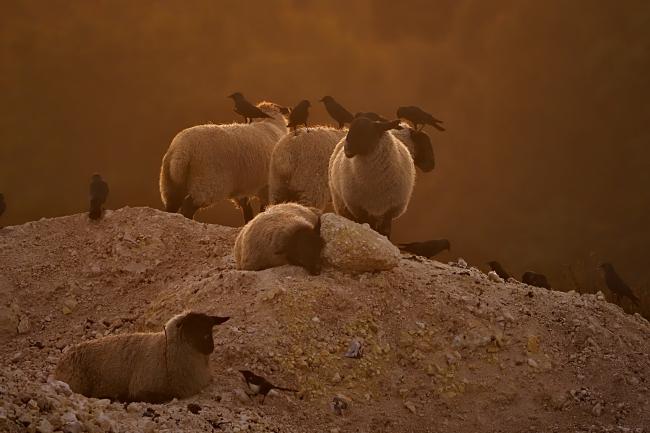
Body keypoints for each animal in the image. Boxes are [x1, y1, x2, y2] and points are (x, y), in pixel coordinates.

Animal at [159, 102, 289, 223]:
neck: (270, 124)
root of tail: (182, 150)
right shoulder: (267, 187)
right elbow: (263, 208)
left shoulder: (242, 188)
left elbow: (247, 209)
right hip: (207, 182)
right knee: (188, 206)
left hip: (171, 183)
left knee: (171, 207)